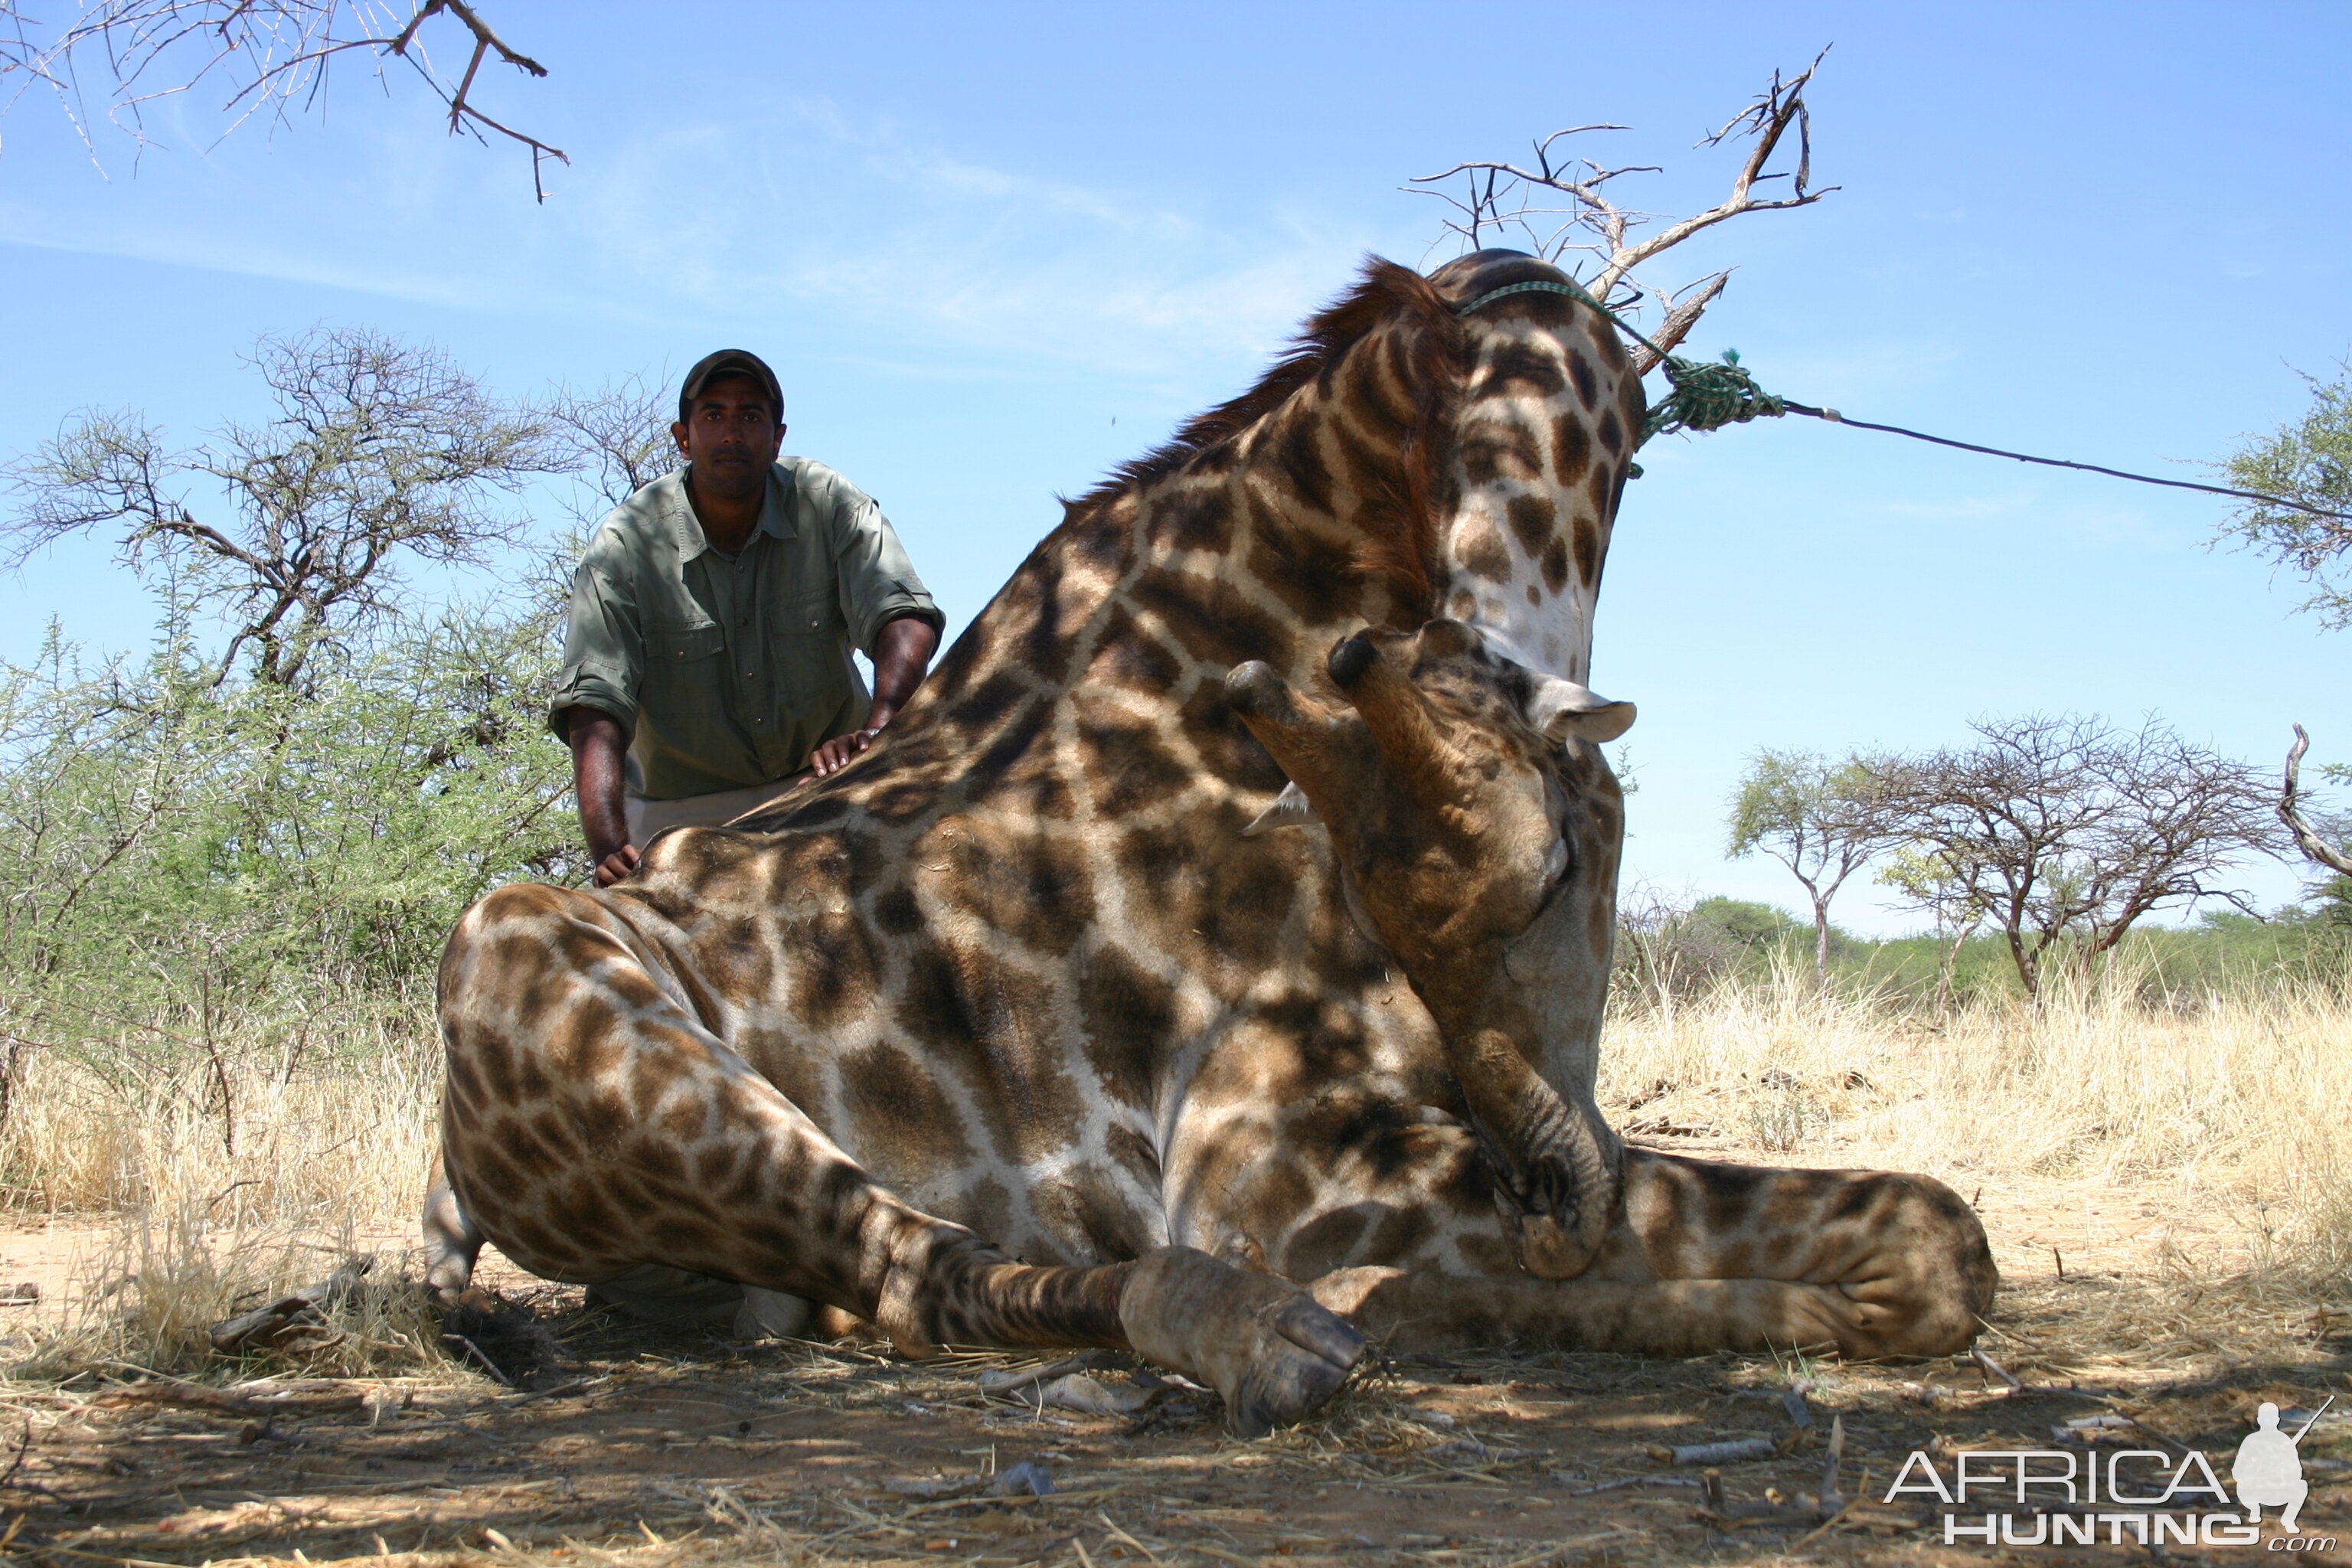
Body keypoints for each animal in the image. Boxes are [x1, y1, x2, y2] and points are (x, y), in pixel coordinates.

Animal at [433, 247, 1994, 1439]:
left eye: (1567, 872)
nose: (1551, 1196)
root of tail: (449, 1172)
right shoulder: (1273, 1160)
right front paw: (1376, 1302)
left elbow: (1937, 1237)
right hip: (549, 980)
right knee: (917, 1272)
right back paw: (1256, 1336)